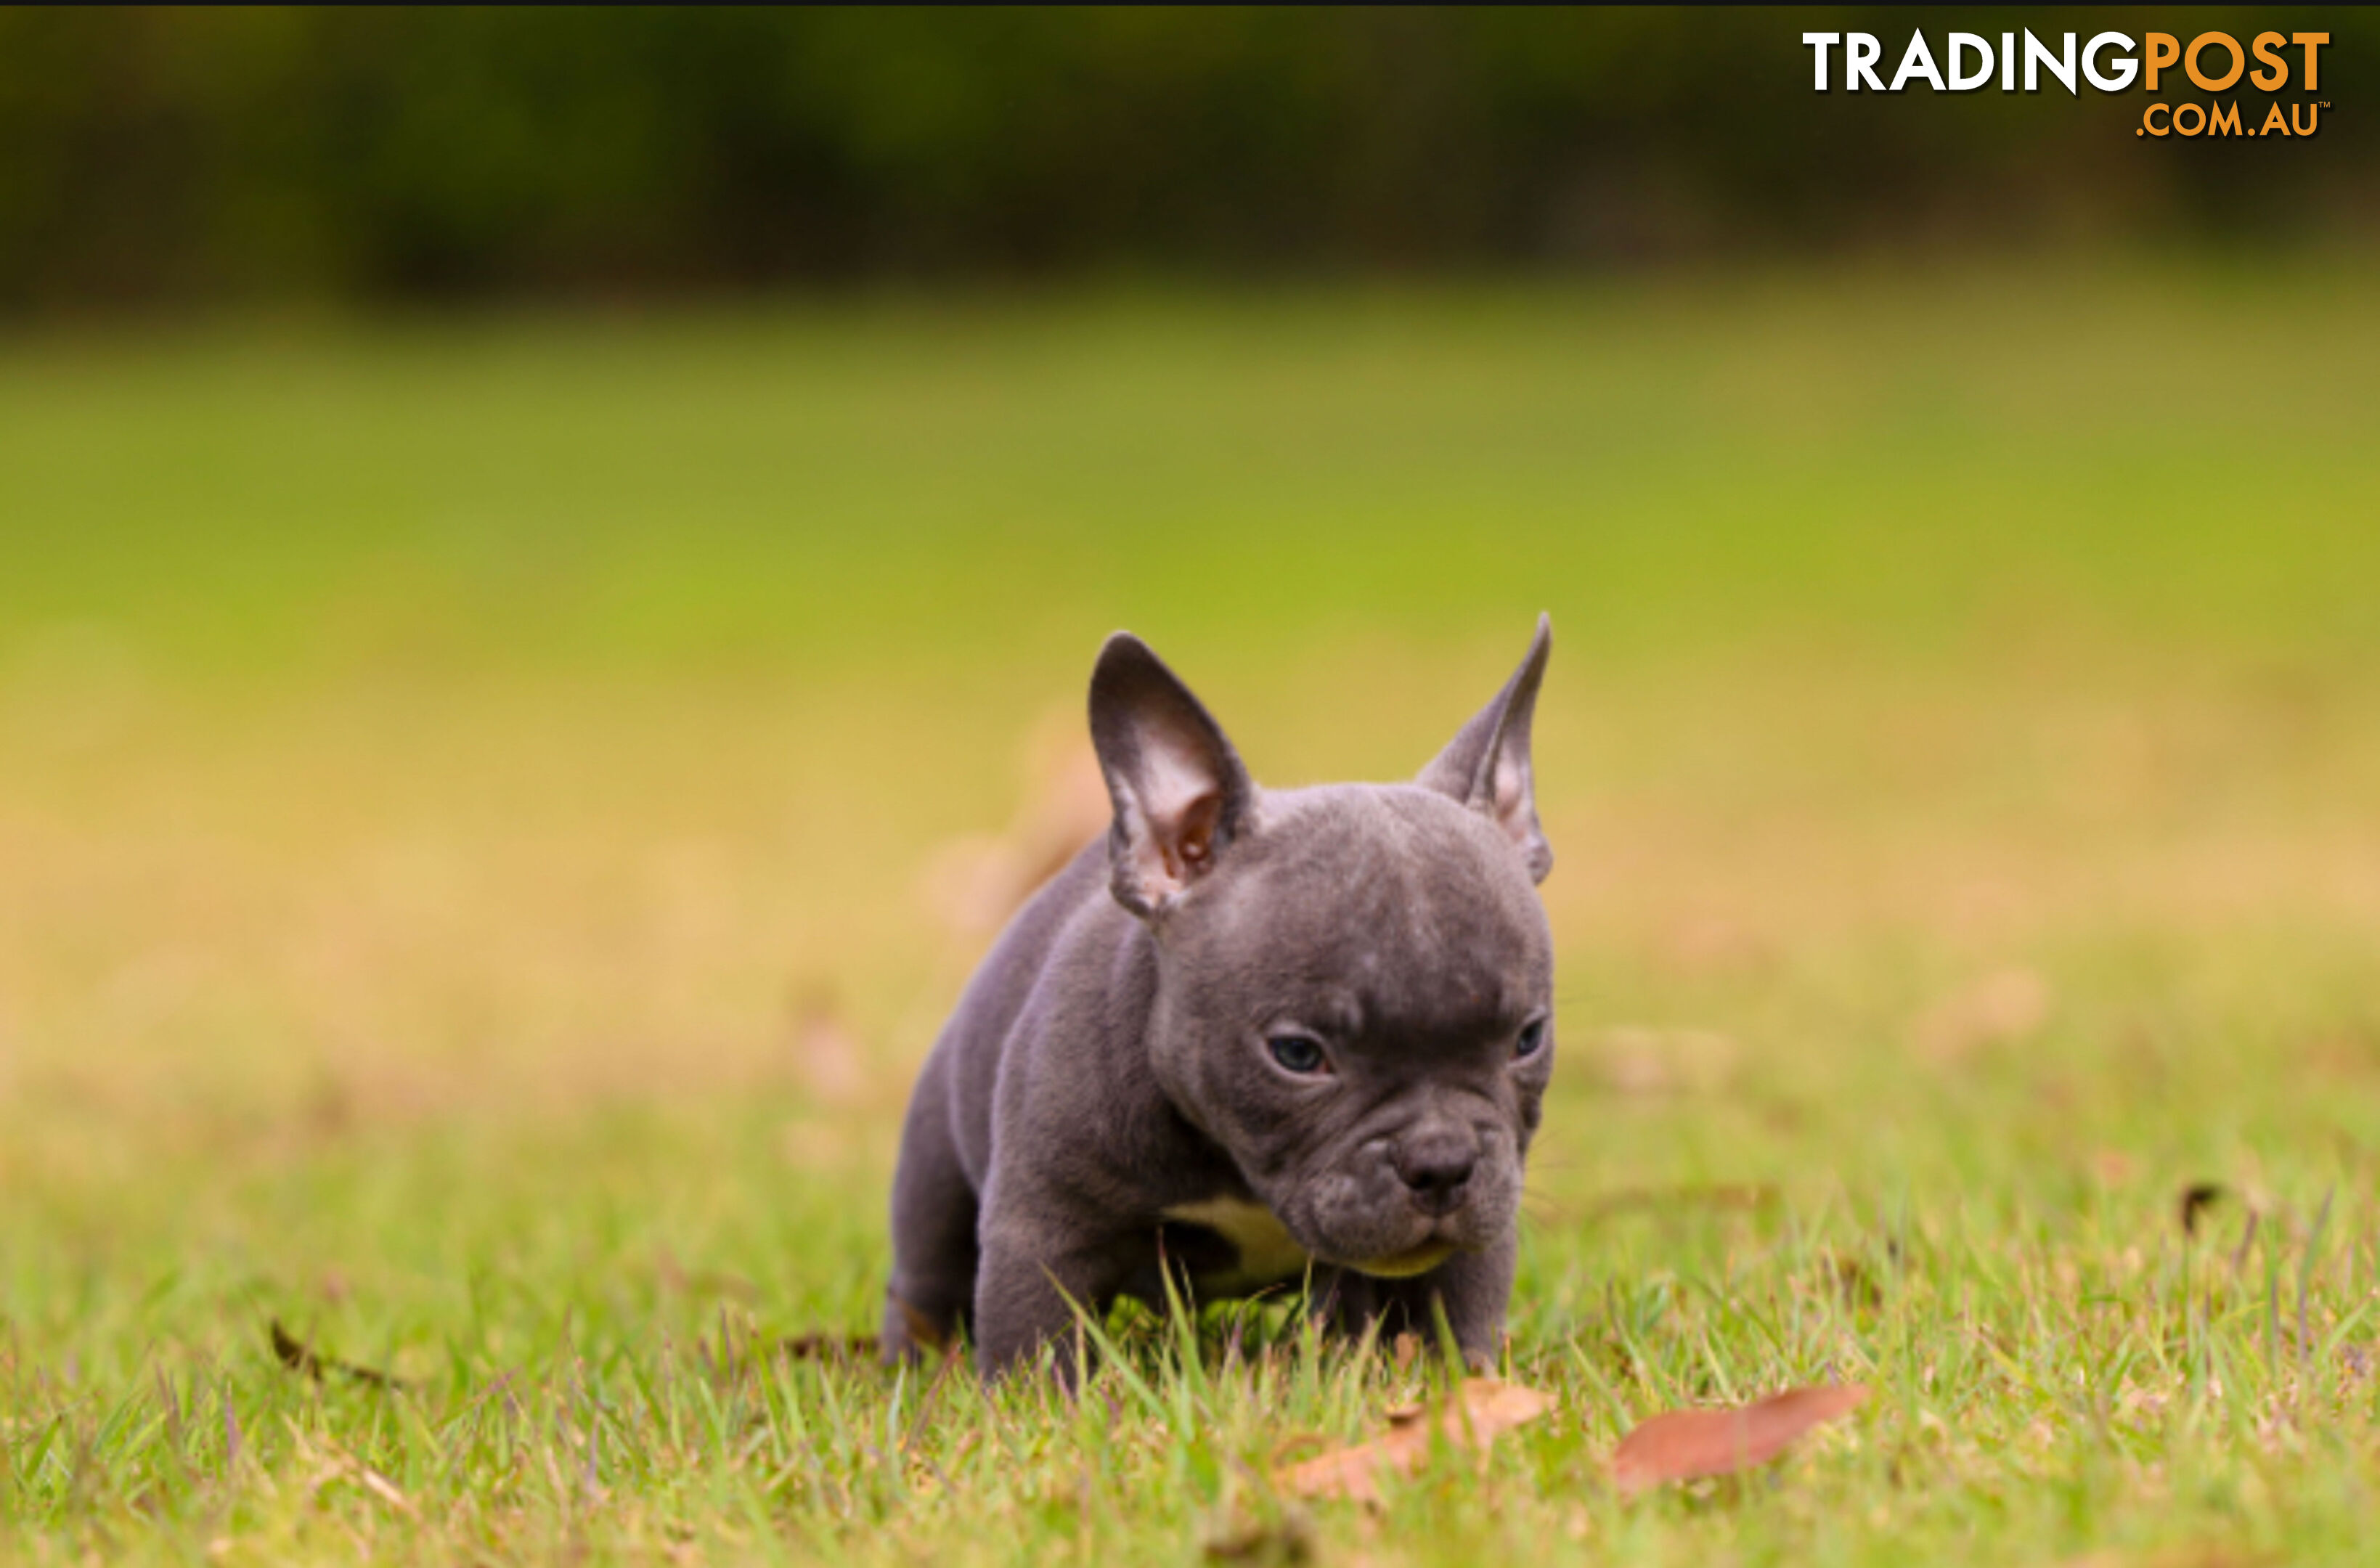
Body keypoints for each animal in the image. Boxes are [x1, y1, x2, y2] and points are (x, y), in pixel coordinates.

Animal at [885, 618, 1552, 1380]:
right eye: (1298, 1055)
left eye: (1528, 1039)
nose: (1443, 1161)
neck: (1233, 1160)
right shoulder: (1044, 1227)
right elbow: (1036, 1337)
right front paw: (1034, 1402)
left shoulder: (1477, 1231)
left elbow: (1457, 1311)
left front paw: (1465, 1387)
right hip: (934, 1175)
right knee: (927, 1279)